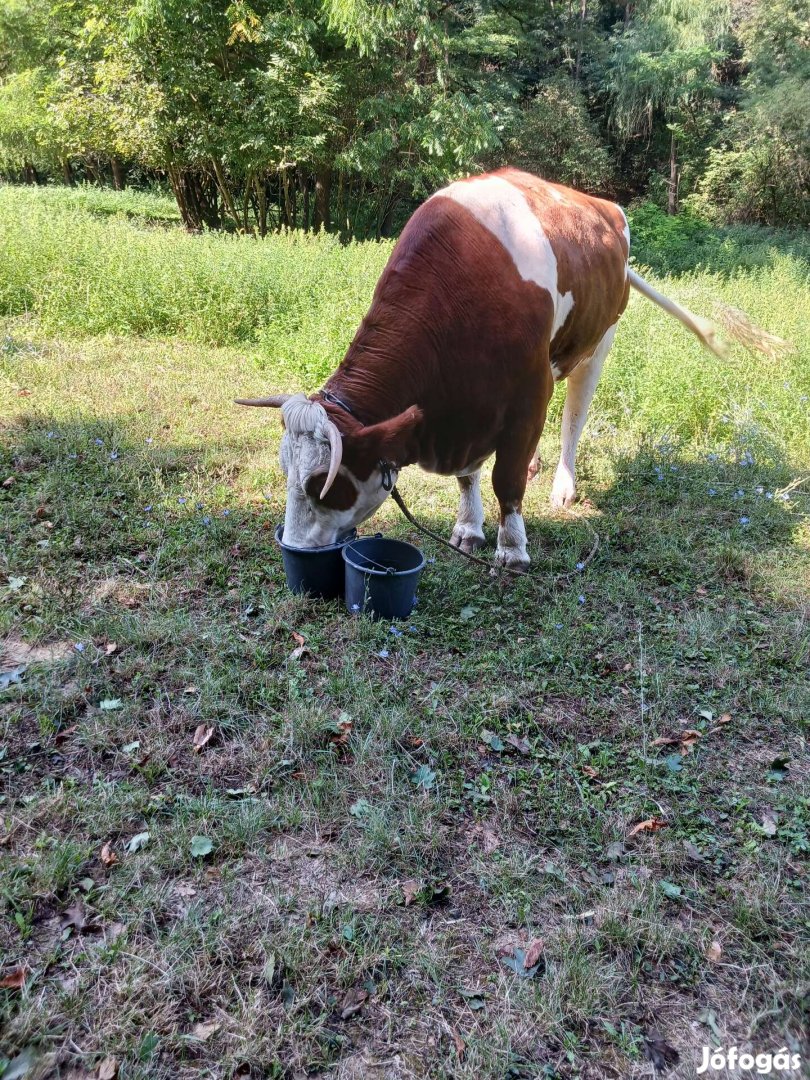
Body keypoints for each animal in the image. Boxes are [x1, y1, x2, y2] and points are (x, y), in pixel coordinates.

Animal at [237, 168, 734, 570]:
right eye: (285, 471)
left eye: (322, 486)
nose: (295, 548)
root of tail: (605, 205)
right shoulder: (466, 407)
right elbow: (469, 476)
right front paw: (468, 528)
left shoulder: (526, 393)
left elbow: (505, 481)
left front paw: (512, 548)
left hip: (598, 343)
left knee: (574, 416)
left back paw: (562, 486)